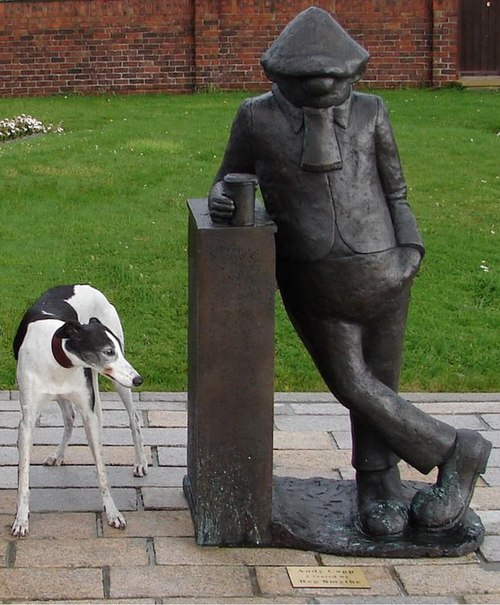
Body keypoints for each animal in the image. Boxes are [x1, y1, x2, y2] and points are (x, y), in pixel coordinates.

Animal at [11, 286, 146, 536]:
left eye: (118, 352)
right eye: (108, 351)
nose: (139, 379)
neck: (57, 357)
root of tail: (87, 286)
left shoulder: (89, 414)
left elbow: (102, 472)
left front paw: (113, 513)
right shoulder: (26, 423)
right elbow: (23, 477)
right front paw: (21, 519)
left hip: (116, 384)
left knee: (133, 418)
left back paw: (141, 462)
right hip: (68, 395)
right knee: (69, 417)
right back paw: (58, 455)